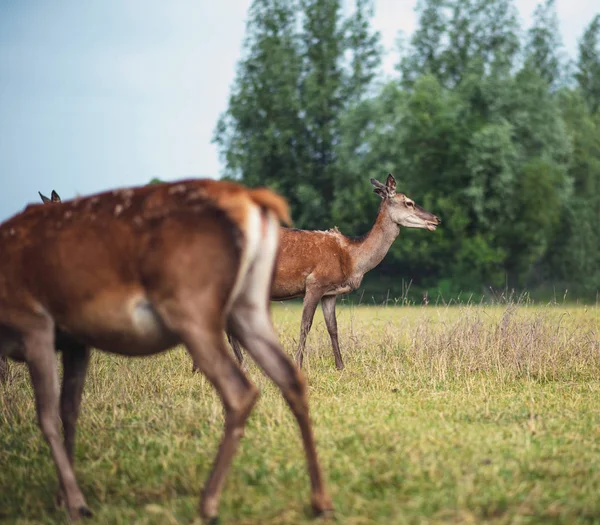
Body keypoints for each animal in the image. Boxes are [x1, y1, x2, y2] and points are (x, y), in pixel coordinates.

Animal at [0, 179, 332, 520]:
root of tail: (253, 202)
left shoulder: (35, 323)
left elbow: (48, 415)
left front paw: (73, 502)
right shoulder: (74, 340)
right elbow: (68, 410)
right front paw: (64, 497)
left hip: (191, 305)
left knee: (240, 388)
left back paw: (208, 503)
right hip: (247, 305)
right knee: (289, 377)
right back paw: (319, 500)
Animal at [225, 172, 440, 368]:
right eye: (409, 202)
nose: (436, 219)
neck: (352, 260)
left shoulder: (330, 293)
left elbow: (333, 327)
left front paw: (340, 365)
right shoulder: (315, 283)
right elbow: (305, 325)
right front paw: (298, 364)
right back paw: (242, 363)